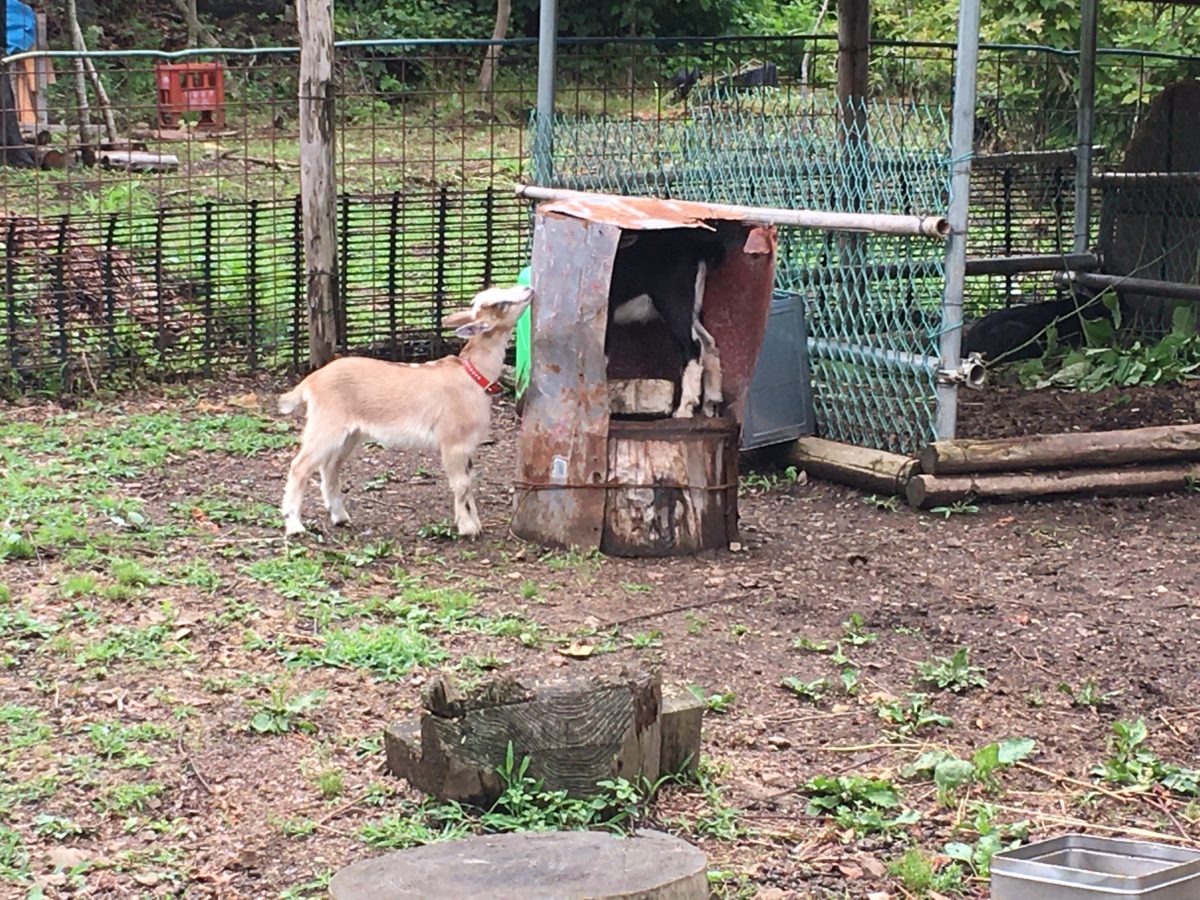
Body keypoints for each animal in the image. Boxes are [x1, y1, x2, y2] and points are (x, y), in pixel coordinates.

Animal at [278, 283, 532, 535]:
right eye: (501, 304)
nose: (528, 288)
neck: (473, 375)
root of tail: (311, 381)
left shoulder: (469, 444)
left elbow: (470, 482)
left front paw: (476, 524)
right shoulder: (453, 442)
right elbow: (460, 485)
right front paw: (467, 528)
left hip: (350, 433)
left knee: (329, 467)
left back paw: (340, 517)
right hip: (326, 425)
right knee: (299, 467)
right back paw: (295, 525)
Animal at [604, 229, 734, 420]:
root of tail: (697, 247)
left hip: (673, 301)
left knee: (693, 346)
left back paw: (684, 409)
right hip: (692, 308)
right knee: (708, 343)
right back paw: (711, 403)